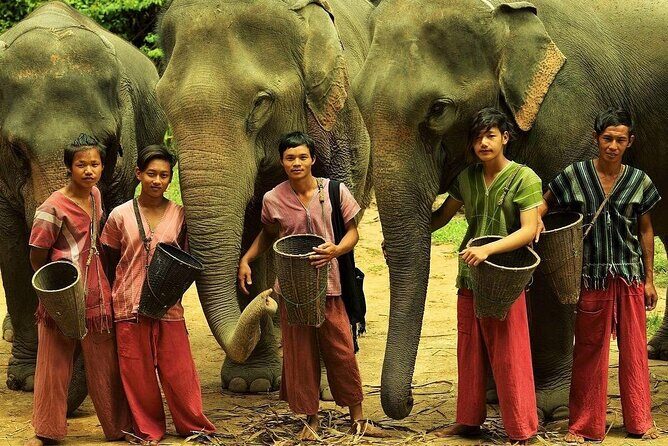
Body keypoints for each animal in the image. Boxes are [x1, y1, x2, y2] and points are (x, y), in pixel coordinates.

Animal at [156, 0, 373, 393]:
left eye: (260, 104)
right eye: (162, 101)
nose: (269, 302)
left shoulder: (338, 129)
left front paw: (324, 384)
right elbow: (248, 235)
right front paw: (251, 382)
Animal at [353, 0, 668, 421]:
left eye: (438, 109)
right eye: (358, 100)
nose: (406, 403)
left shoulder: (568, 115)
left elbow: (555, 234)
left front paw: (552, 407)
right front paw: (495, 398)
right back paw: (658, 350)